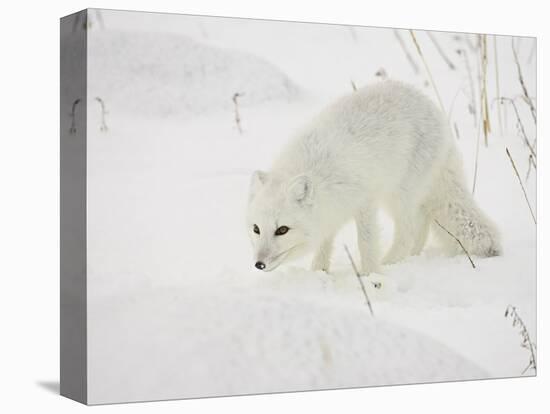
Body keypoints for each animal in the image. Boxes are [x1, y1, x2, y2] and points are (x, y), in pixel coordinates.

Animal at [248, 81, 502, 274]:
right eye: (256, 229)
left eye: (282, 230)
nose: (259, 264)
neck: (317, 170)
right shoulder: (330, 213)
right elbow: (324, 246)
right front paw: (318, 273)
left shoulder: (365, 203)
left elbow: (366, 243)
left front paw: (370, 276)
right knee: (421, 223)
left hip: (398, 195)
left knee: (409, 232)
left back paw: (391, 264)